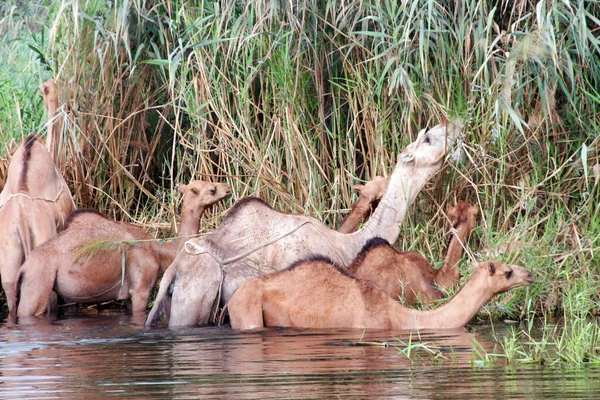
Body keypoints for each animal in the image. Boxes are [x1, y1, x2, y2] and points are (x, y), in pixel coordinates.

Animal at [12, 179, 232, 322]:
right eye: (212, 189)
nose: (228, 188)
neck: (160, 250)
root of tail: (24, 268)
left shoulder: (127, 295)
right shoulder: (142, 289)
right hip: (37, 285)